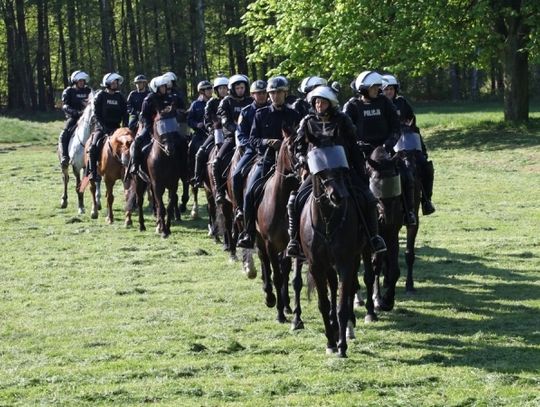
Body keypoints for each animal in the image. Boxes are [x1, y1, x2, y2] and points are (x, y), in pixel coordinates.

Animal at [298, 146, 370, 356]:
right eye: (321, 173)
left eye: (340, 170)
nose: (337, 196)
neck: (328, 221)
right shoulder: (316, 266)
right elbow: (324, 304)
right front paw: (330, 342)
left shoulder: (345, 263)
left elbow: (342, 304)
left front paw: (342, 346)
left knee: (349, 289)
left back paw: (347, 328)